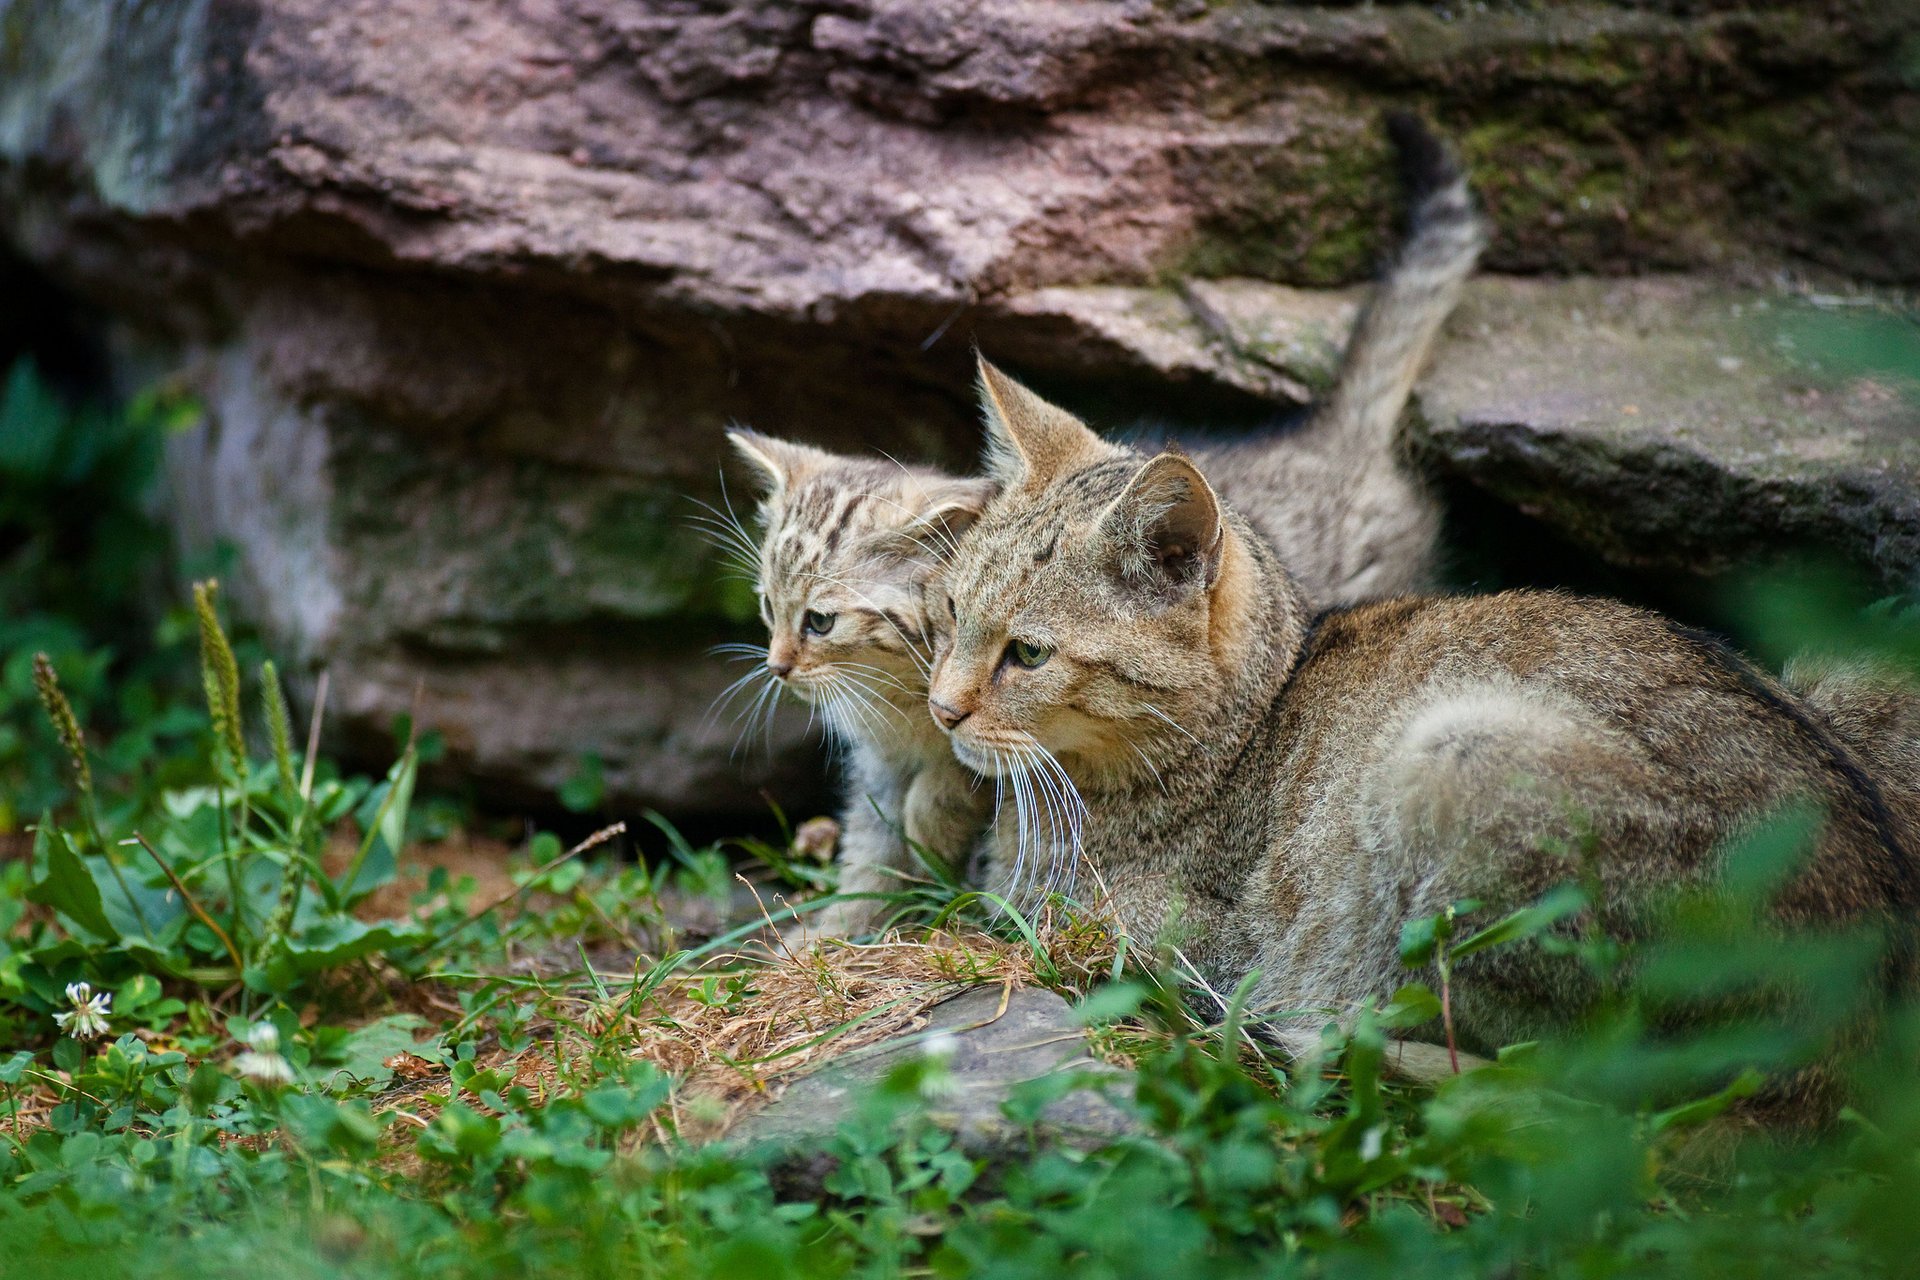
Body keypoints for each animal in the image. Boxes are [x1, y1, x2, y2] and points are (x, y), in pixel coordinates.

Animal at [721, 119, 1482, 936]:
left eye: (821, 621)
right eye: (766, 609)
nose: (777, 666)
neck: (896, 710)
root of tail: (1331, 431)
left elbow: (953, 800)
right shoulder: (879, 773)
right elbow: (869, 855)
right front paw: (831, 933)